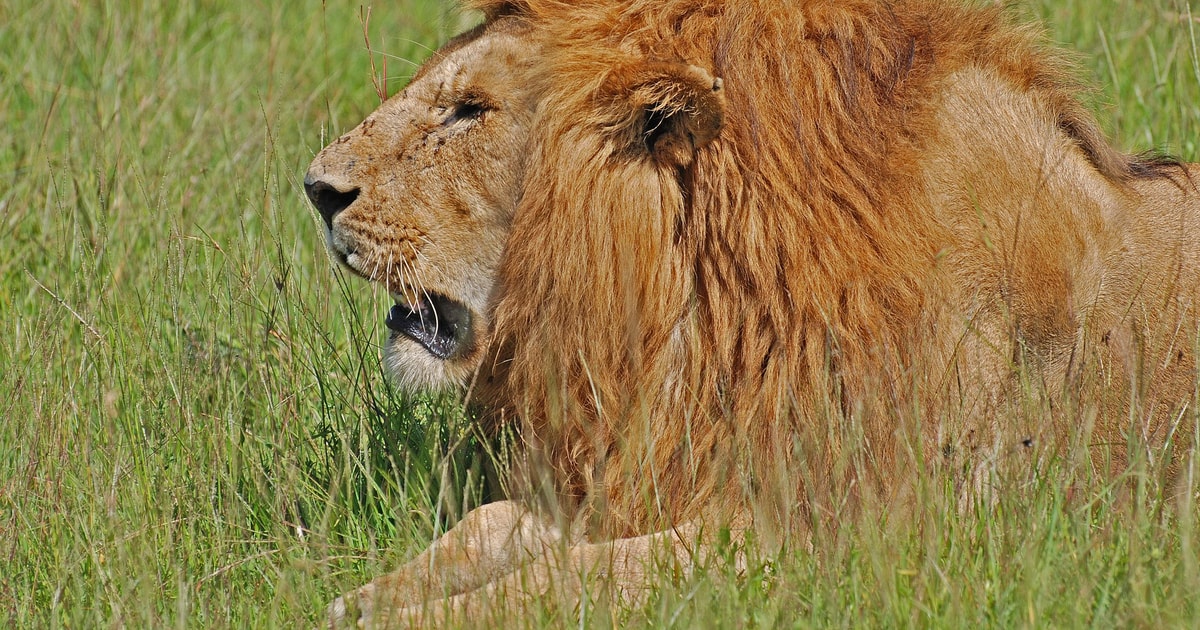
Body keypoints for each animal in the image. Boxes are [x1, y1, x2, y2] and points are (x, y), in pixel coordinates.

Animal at [302, 0, 1200, 624]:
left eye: (471, 110)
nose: (316, 189)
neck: (696, 312)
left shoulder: (844, 531)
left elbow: (584, 575)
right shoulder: (666, 462)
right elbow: (493, 523)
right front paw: (363, 594)